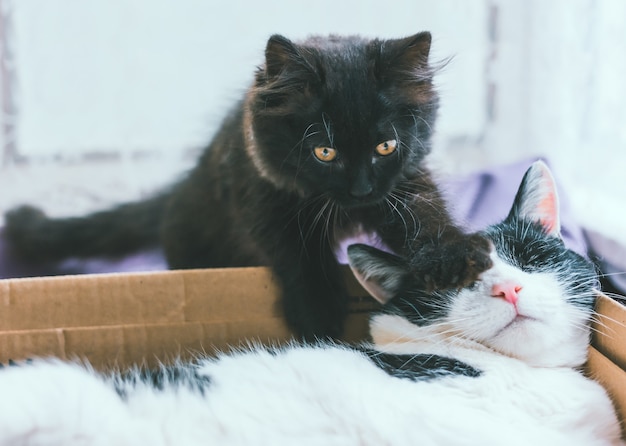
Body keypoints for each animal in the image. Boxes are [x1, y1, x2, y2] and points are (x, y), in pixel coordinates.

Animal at [6, 32, 492, 338]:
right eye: (325, 152)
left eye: (386, 146)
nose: (360, 191)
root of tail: (178, 191)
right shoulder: (264, 202)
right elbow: (298, 255)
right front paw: (318, 314)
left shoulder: (403, 186)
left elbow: (426, 217)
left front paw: (451, 258)